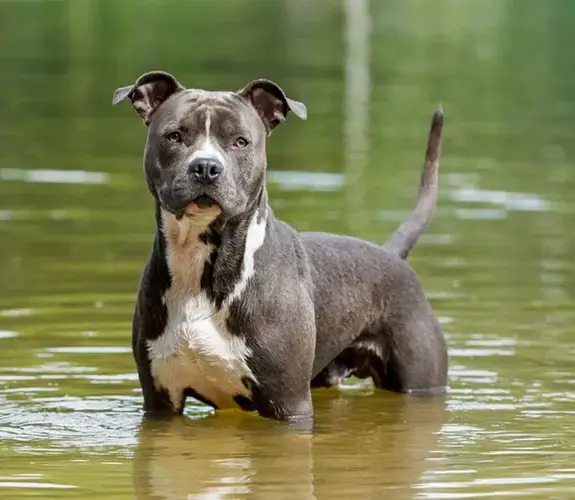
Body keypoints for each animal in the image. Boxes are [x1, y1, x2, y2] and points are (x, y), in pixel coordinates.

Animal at [111, 70, 446, 422]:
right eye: (175, 136)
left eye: (240, 141)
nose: (205, 167)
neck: (202, 265)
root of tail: (392, 255)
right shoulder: (161, 402)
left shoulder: (288, 402)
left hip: (421, 380)